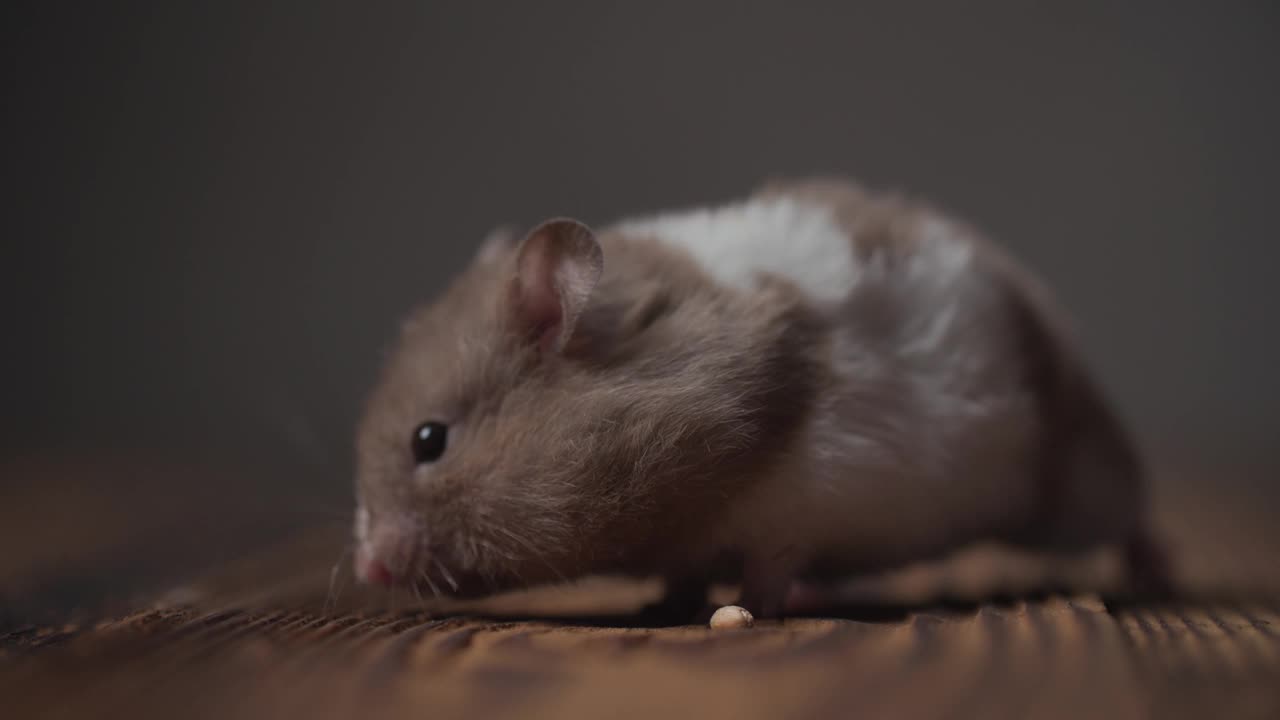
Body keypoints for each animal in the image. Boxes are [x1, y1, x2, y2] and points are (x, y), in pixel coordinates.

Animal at [350, 175, 1172, 617]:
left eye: (430, 440)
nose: (367, 571)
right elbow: (684, 573)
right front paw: (666, 604)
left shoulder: (797, 510)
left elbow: (771, 561)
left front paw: (749, 606)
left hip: (1067, 489)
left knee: (1134, 512)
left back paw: (1152, 579)